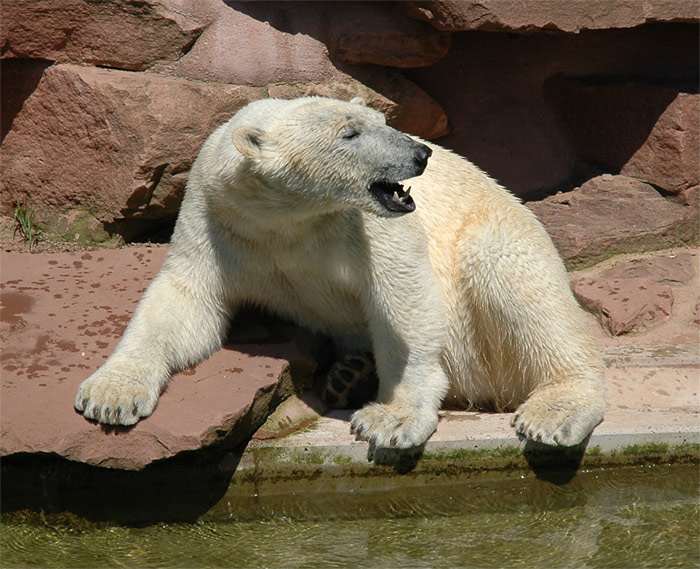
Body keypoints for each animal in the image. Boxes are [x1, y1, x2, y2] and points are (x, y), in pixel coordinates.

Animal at [74, 95, 604, 448]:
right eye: (349, 133)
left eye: (382, 121)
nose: (421, 153)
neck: (286, 219)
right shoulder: (216, 219)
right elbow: (183, 301)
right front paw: (111, 395)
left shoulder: (368, 229)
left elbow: (403, 298)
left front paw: (392, 417)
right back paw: (349, 374)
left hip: (498, 252)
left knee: (511, 280)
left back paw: (556, 410)